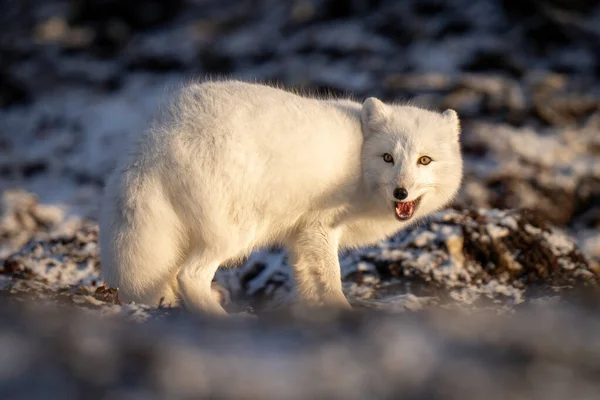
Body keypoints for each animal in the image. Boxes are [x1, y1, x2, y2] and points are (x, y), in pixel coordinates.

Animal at [98, 79, 464, 314]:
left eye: (424, 160)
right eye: (388, 158)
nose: (401, 191)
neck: (360, 162)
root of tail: (155, 137)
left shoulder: (300, 237)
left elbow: (308, 282)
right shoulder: (320, 228)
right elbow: (331, 281)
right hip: (235, 232)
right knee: (190, 276)